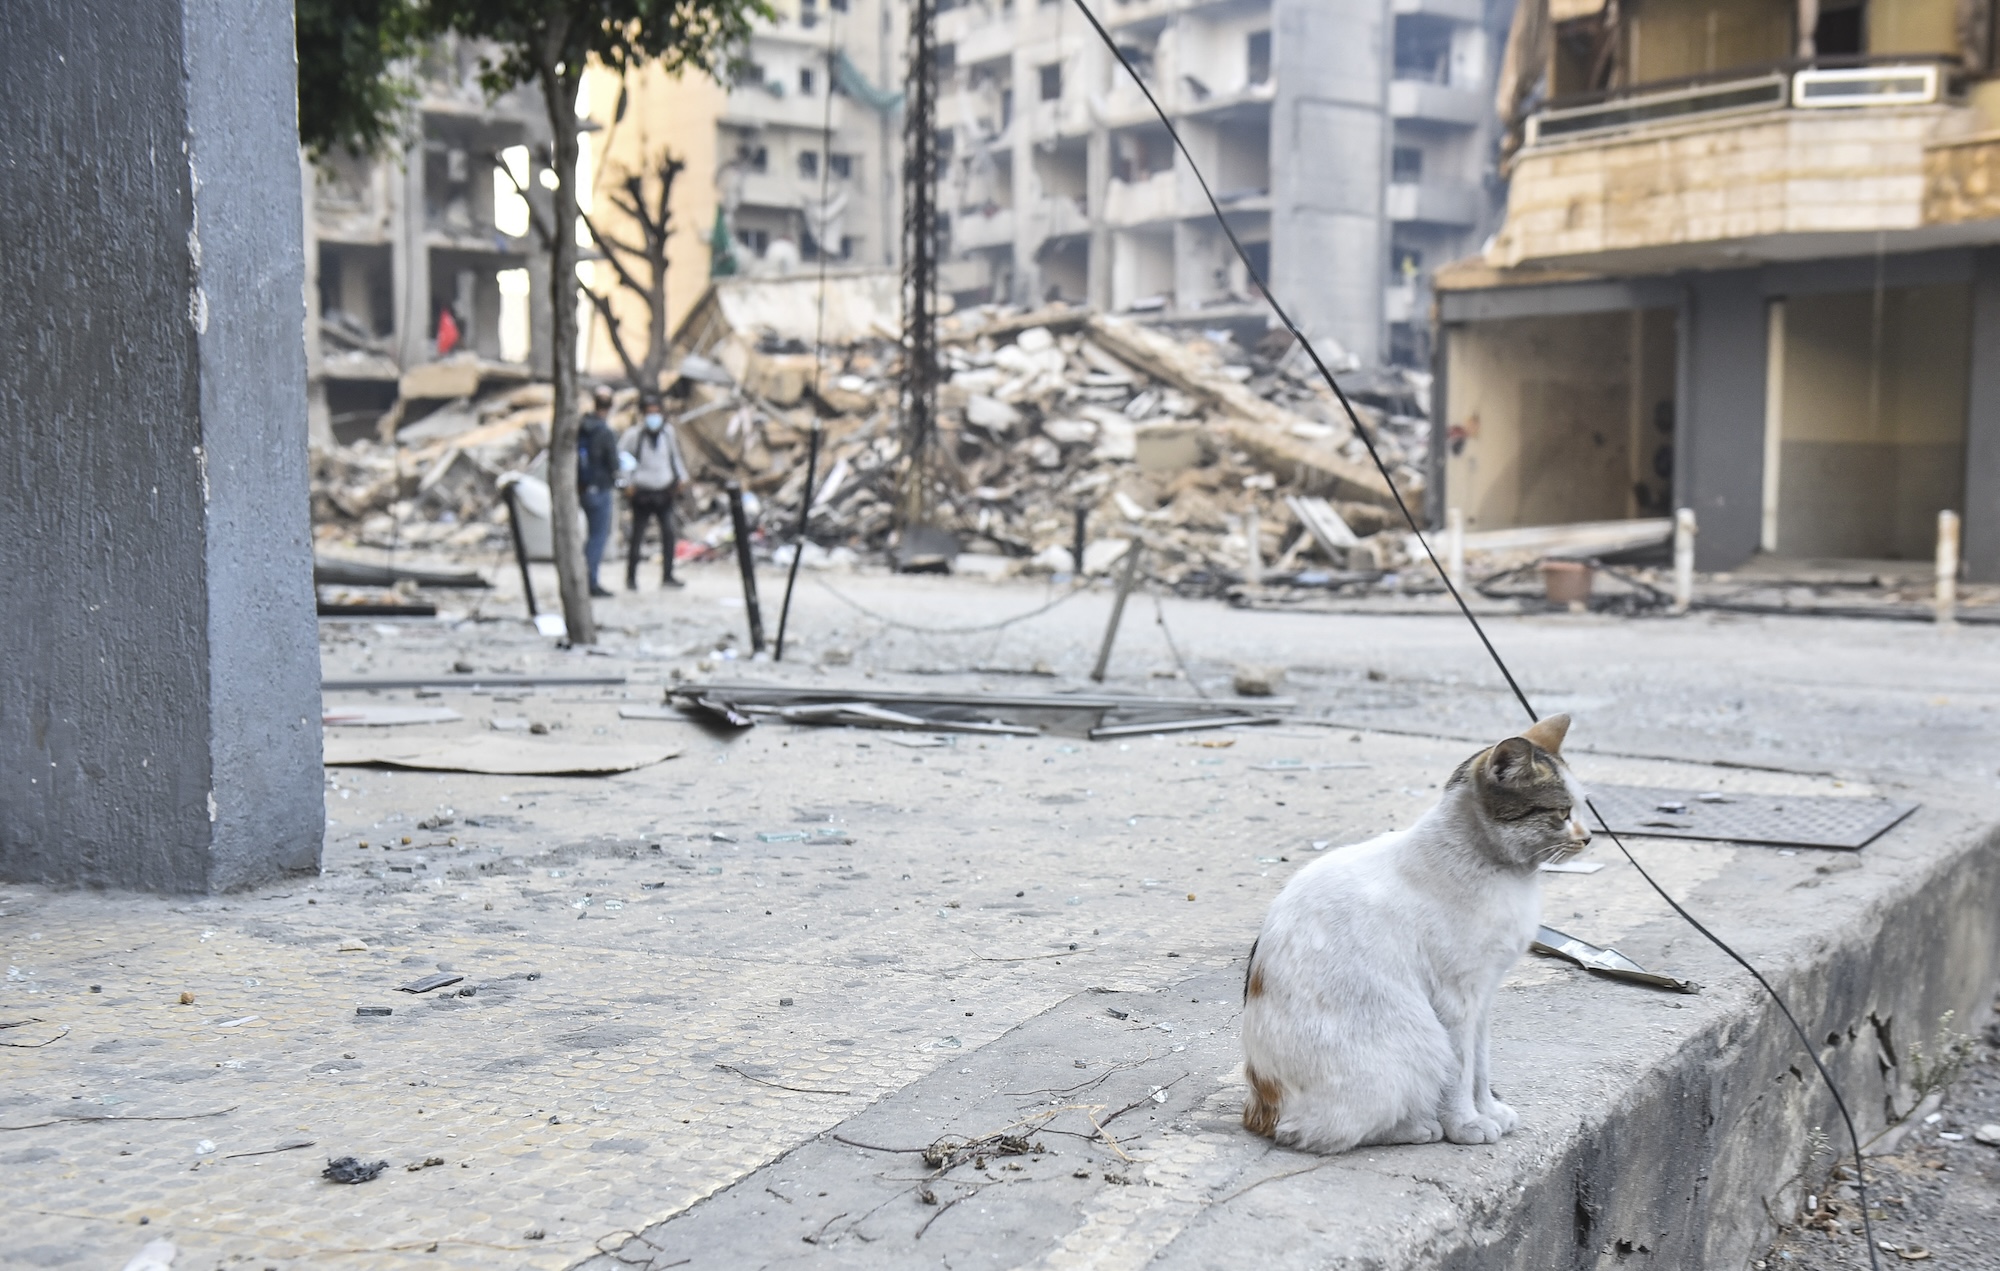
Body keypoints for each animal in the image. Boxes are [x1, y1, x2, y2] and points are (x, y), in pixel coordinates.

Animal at [1240, 715, 1584, 1151]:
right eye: (1562, 812)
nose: (1588, 837)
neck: (1503, 874)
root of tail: (1261, 1109)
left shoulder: (1484, 997)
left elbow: (1481, 1066)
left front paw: (1488, 1110)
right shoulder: (1456, 1000)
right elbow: (1461, 1072)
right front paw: (1466, 1123)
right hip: (1419, 1038)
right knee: (1319, 1133)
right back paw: (1416, 1127)